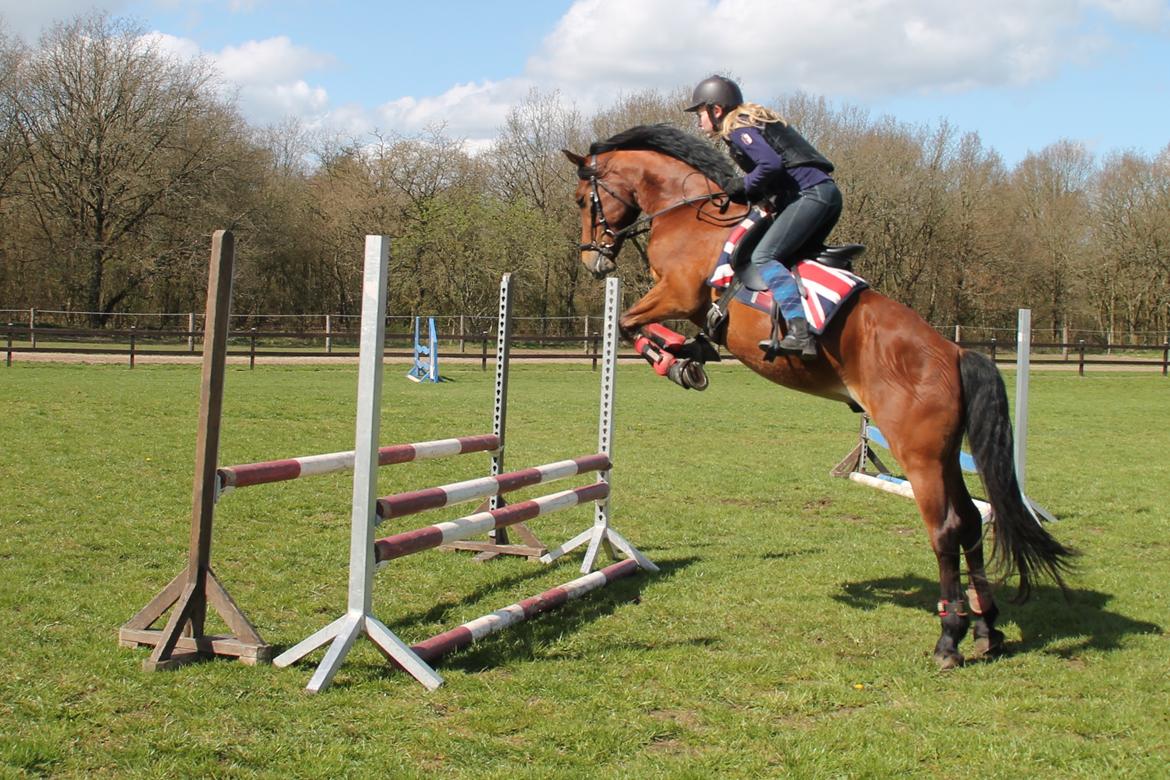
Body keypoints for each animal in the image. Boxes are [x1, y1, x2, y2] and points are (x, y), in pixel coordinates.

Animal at [561, 125, 1071, 668]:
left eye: (583, 199)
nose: (592, 261)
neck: (687, 211)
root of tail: (952, 352)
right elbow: (637, 325)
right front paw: (689, 355)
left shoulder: (678, 293)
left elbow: (627, 322)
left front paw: (676, 363)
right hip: (947, 454)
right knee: (974, 522)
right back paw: (986, 628)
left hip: (918, 455)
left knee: (947, 529)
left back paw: (949, 638)